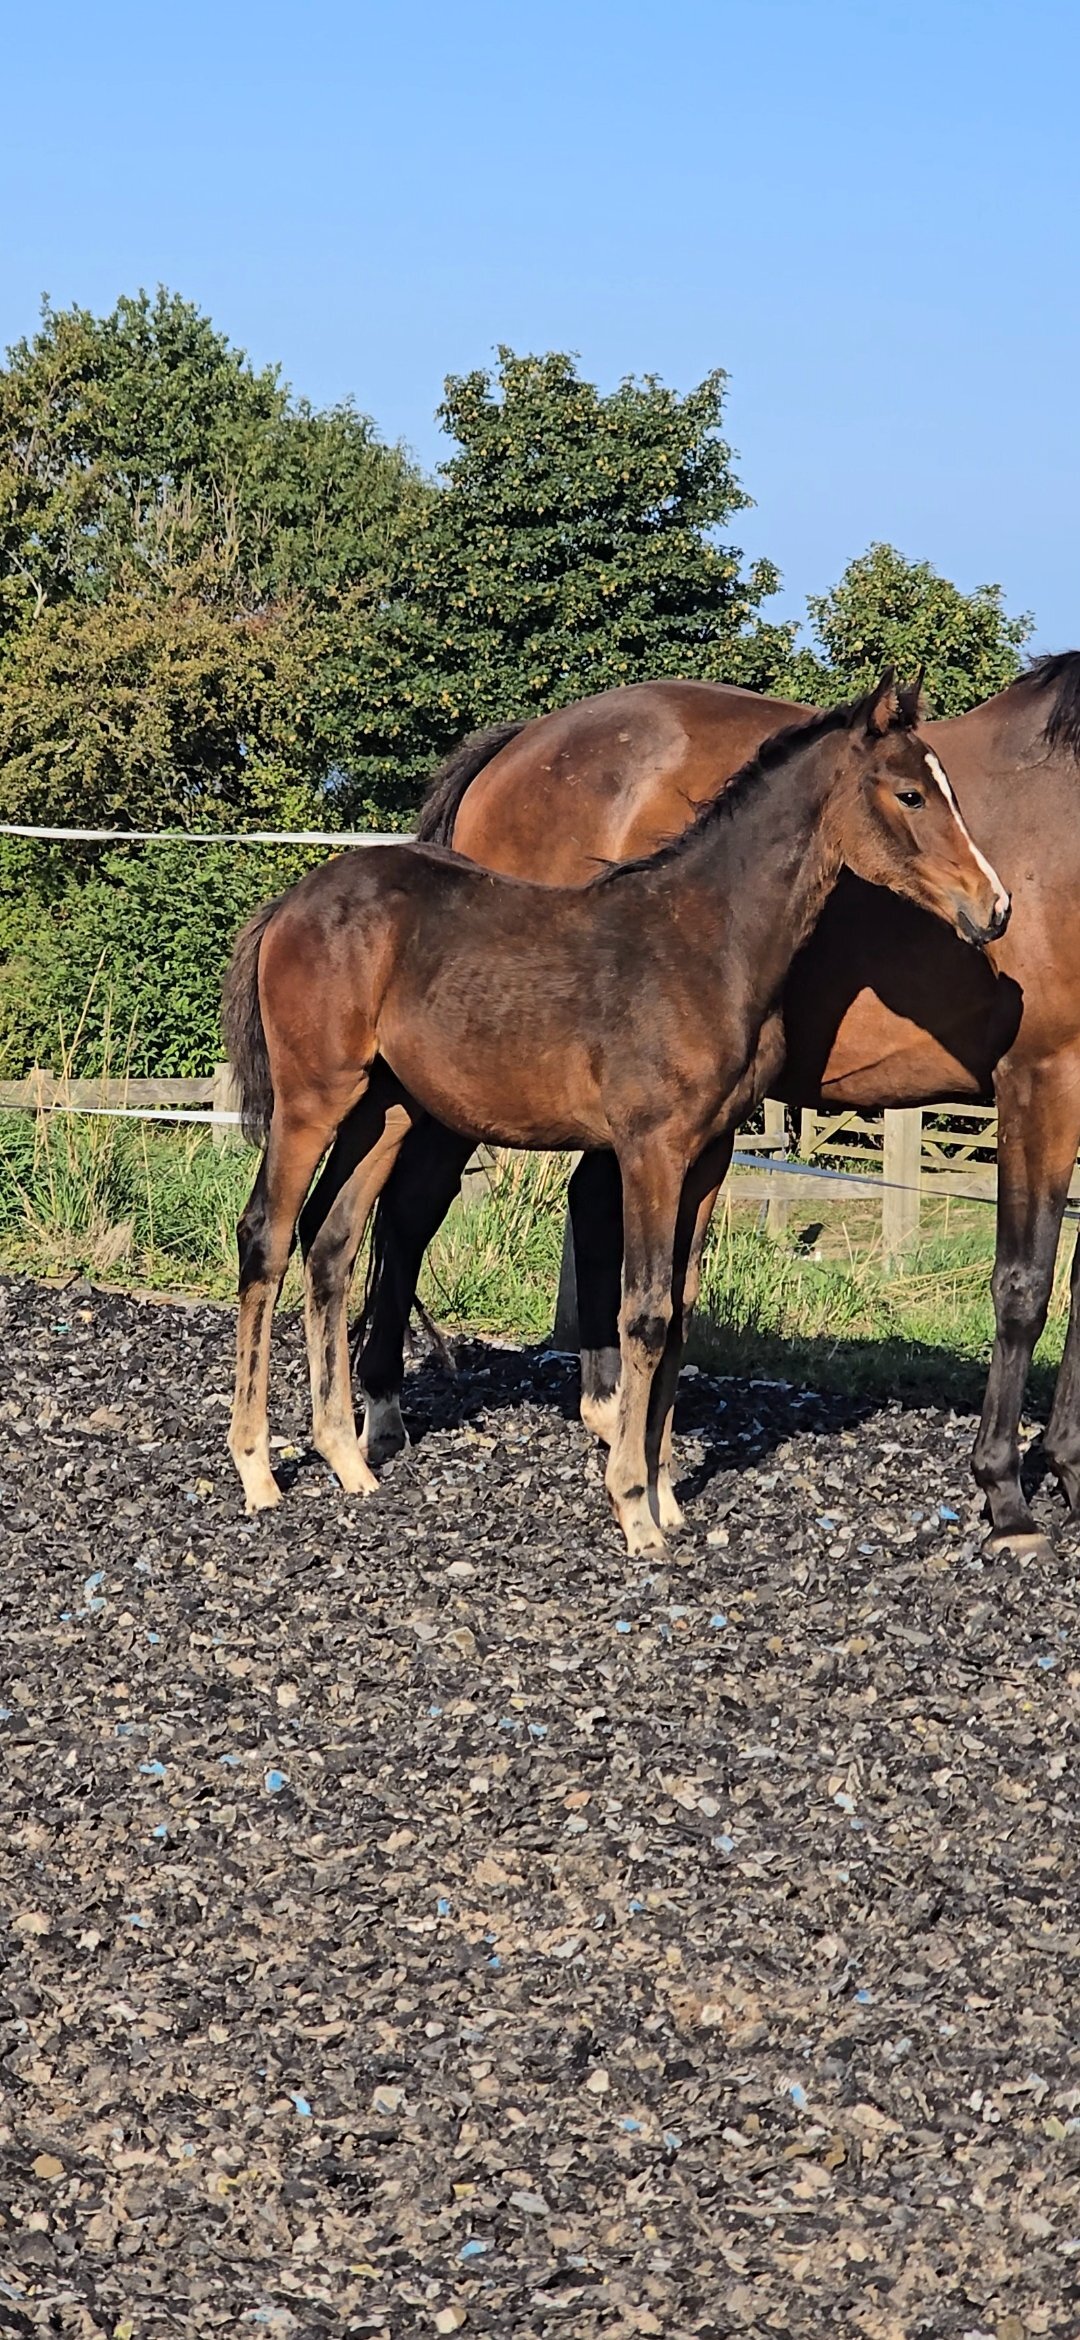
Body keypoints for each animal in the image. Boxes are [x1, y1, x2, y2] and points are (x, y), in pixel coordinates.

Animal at [222, 677, 1007, 1555]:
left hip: (384, 1109)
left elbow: (681, 1313)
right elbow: (645, 1312)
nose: (995, 907)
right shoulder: (650, 1150)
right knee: (267, 1237)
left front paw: (667, 1497)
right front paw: (634, 1508)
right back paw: (257, 1470)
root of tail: (291, 902)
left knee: (333, 1244)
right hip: (312, 1098)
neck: (707, 942)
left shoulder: (710, 1155)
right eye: (909, 793)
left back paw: (346, 1459)